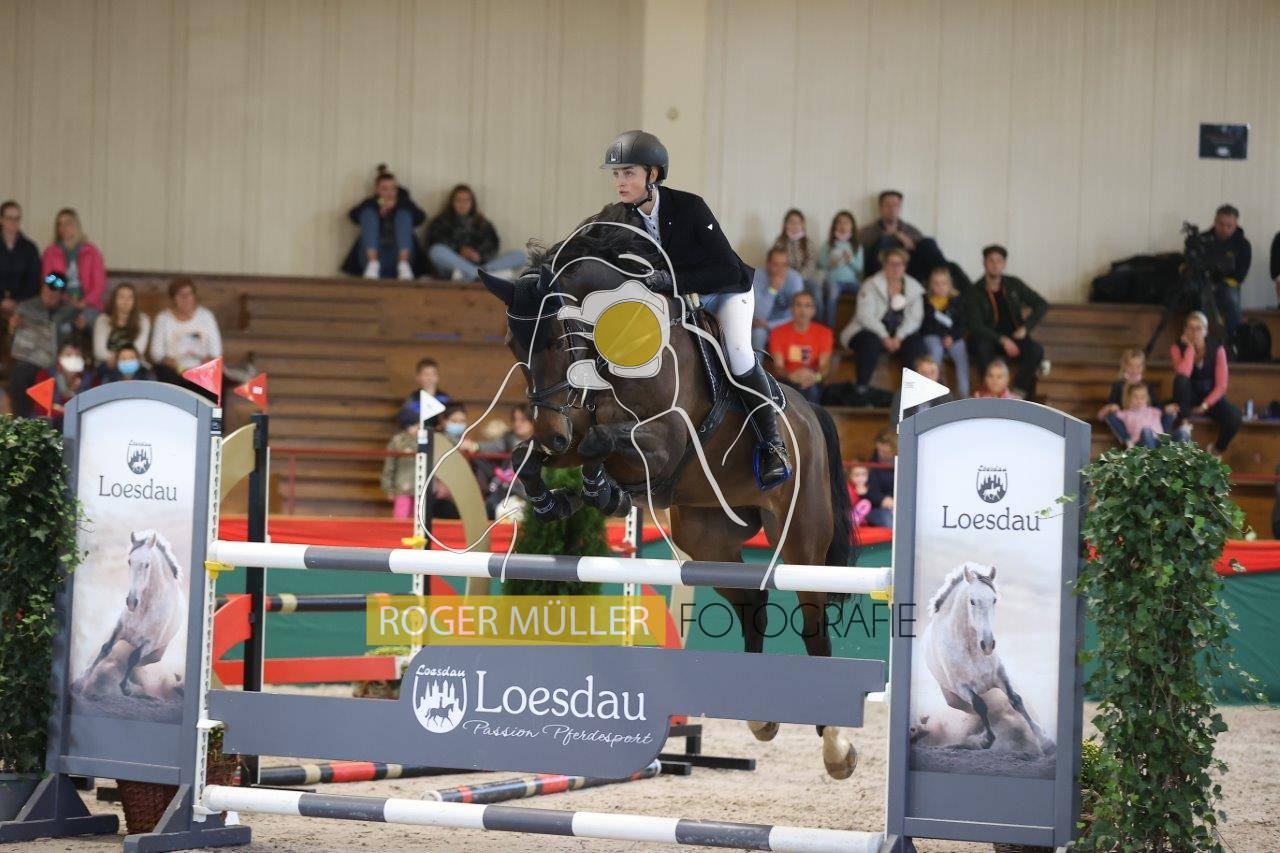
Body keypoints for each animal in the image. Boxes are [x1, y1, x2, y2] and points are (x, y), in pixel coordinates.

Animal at [73, 529, 186, 701]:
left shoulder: (148, 643)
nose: (132, 601)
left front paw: (126, 688)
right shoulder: (119, 629)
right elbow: (105, 649)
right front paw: (79, 682)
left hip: (157, 654)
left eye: (147, 564)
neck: (143, 610)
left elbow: (133, 658)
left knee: (138, 661)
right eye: (129, 561)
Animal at [478, 225, 859, 779]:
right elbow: (533, 454)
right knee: (753, 604)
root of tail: (810, 411)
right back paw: (762, 718)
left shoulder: (664, 441)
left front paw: (597, 489)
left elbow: (601, 444)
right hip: (706, 540)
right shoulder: (578, 427)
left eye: (556, 339)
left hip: (802, 538)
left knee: (812, 621)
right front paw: (561, 500)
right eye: (512, 345)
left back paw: (836, 748)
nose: (551, 430)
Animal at [920, 562, 1053, 753]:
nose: (988, 644)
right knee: (974, 709)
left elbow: (1016, 700)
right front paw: (986, 740)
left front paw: (1044, 740)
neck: (971, 652)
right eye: (972, 601)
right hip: (955, 700)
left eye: (994, 600)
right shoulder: (962, 687)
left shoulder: (1000, 676)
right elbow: (981, 706)